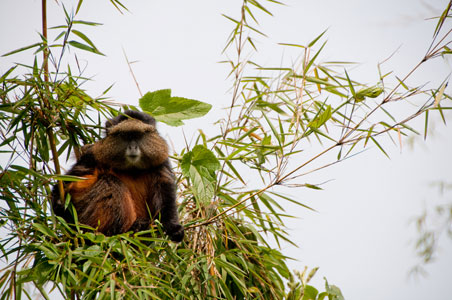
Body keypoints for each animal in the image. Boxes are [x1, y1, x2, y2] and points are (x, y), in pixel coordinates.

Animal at [53, 109, 185, 243]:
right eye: (125, 136)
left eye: (138, 136)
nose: (133, 147)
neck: (132, 169)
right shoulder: (93, 155)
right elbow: (74, 178)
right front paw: (59, 202)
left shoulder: (161, 161)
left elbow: (165, 191)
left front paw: (173, 228)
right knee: (110, 182)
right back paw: (128, 229)